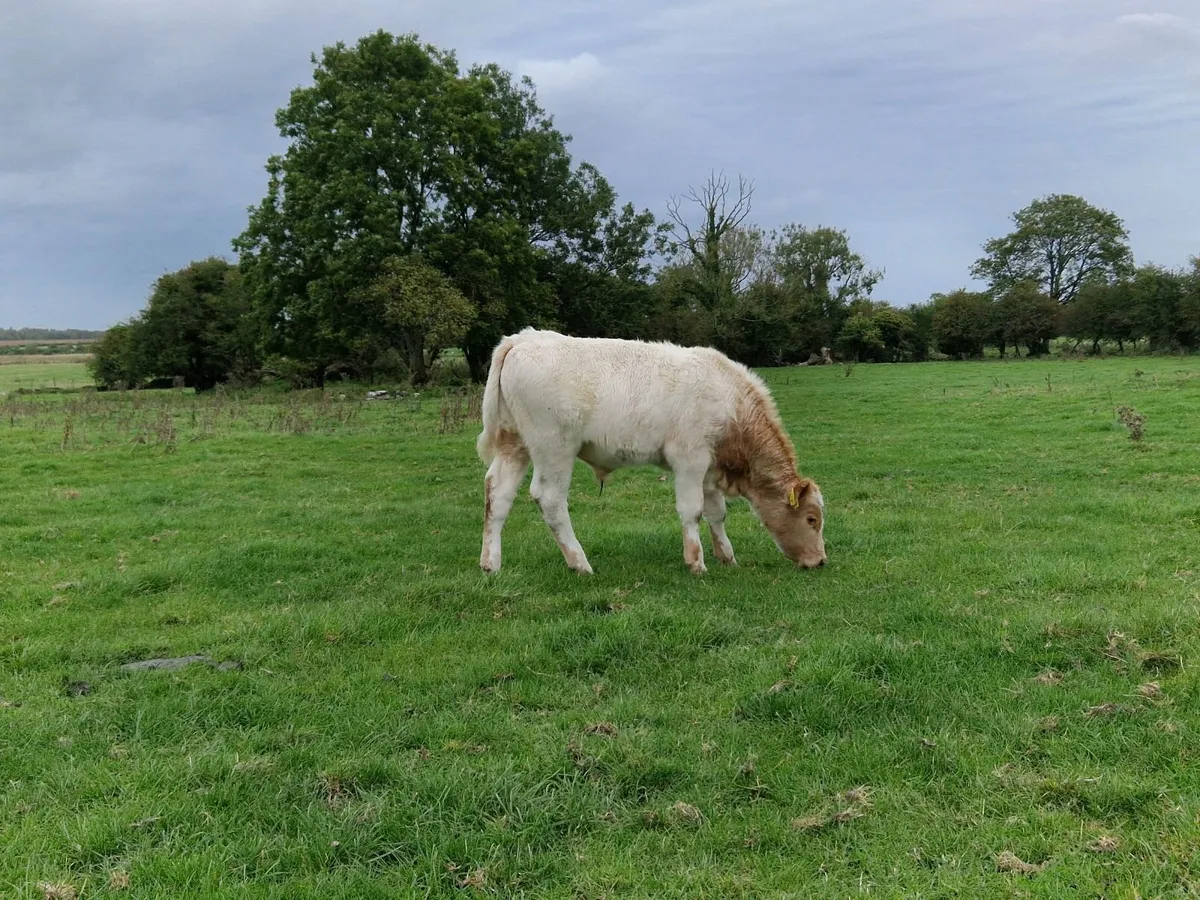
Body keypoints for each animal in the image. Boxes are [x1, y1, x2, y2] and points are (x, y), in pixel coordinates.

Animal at [475, 328, 827, 575]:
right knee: (550, 500)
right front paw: (696, 562)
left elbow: (716, 512)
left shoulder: (709, 468)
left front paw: (726, 555)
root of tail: (524, 338)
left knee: (498, 493)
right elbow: (692, 510)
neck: (729, 400)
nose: (821, 561)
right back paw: (580, 562)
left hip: (514, 444)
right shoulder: (690, 460)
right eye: (811, 519)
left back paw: (491, 563)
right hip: (554, 447)